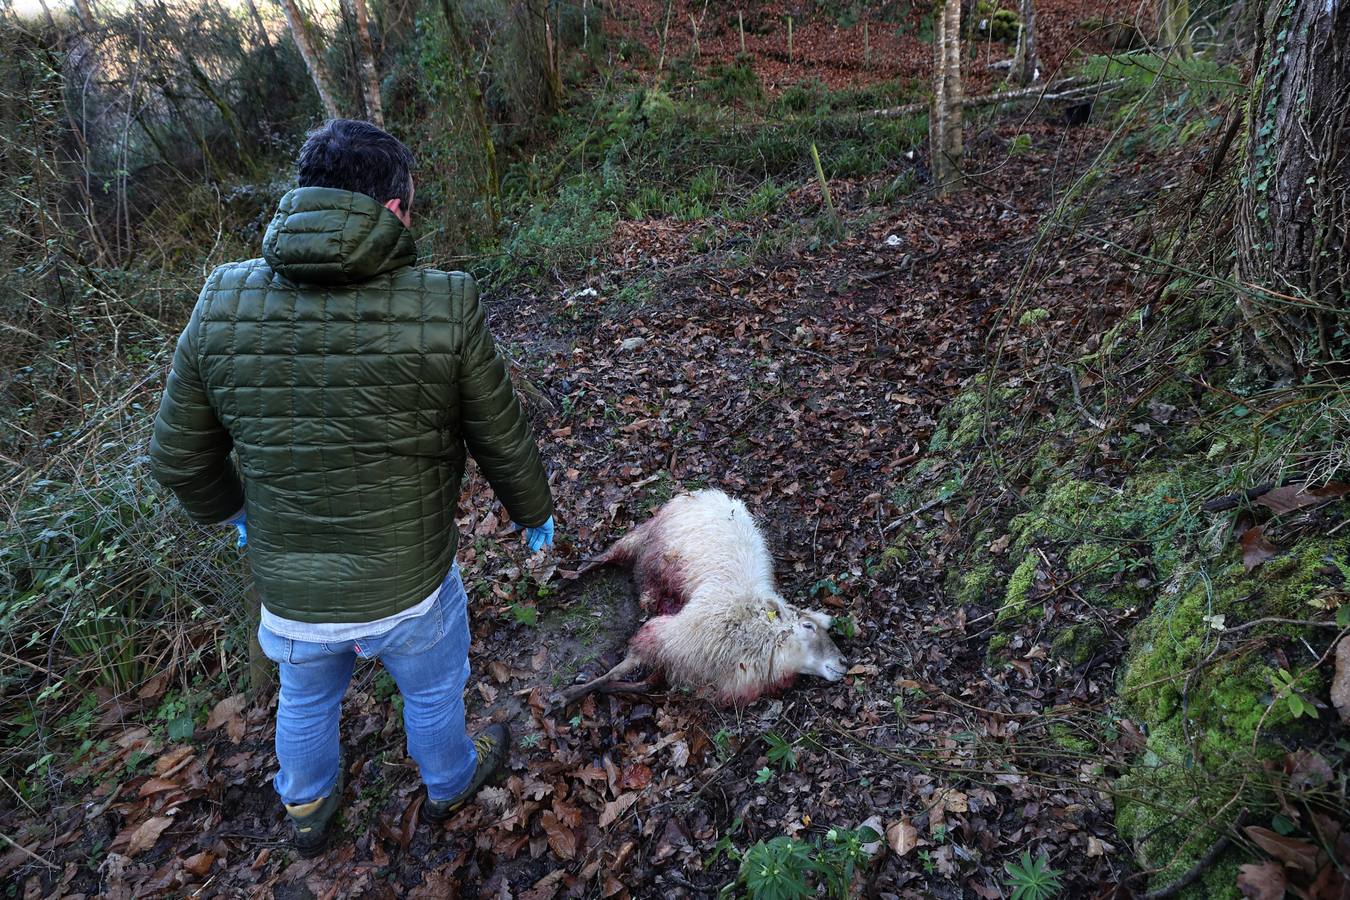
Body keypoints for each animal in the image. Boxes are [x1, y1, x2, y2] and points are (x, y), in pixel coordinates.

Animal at [556, 488, 847, 707]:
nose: (844, 662)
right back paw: (563, 580)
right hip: (648, 537)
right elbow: (618, 670)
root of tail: (706, 493)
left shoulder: (682, 661)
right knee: (604, 556)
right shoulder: (666, 636)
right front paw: (570, 695)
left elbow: (647, 684)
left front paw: (606, 689)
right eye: (807, 626)